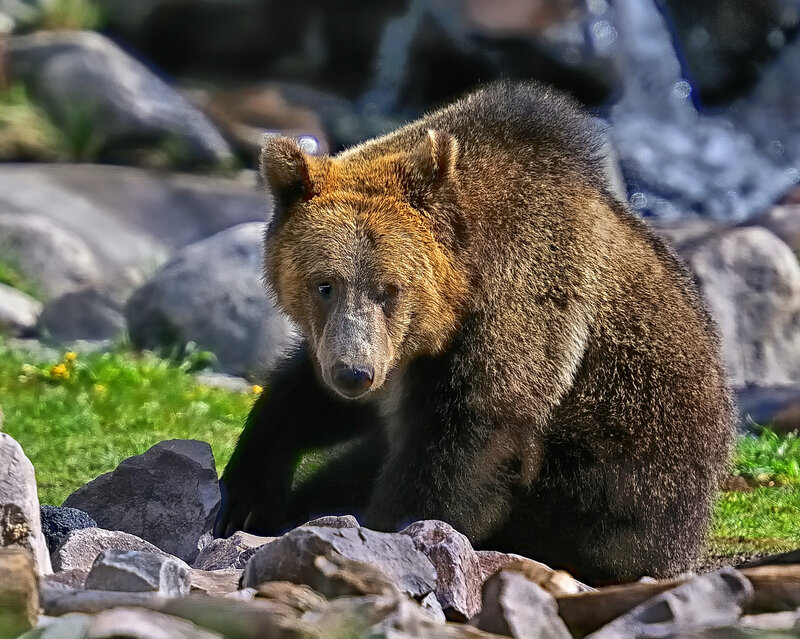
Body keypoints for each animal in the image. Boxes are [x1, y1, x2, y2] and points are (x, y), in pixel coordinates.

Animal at [214, 81, 736, 583]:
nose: (354, 374)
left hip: (615, 480)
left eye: (390, 289)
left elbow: (463, 452)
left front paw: (386, 530)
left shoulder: (522, 316)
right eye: (324, 284)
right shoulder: (385, 353)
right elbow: (304, 398)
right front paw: (246, 494)